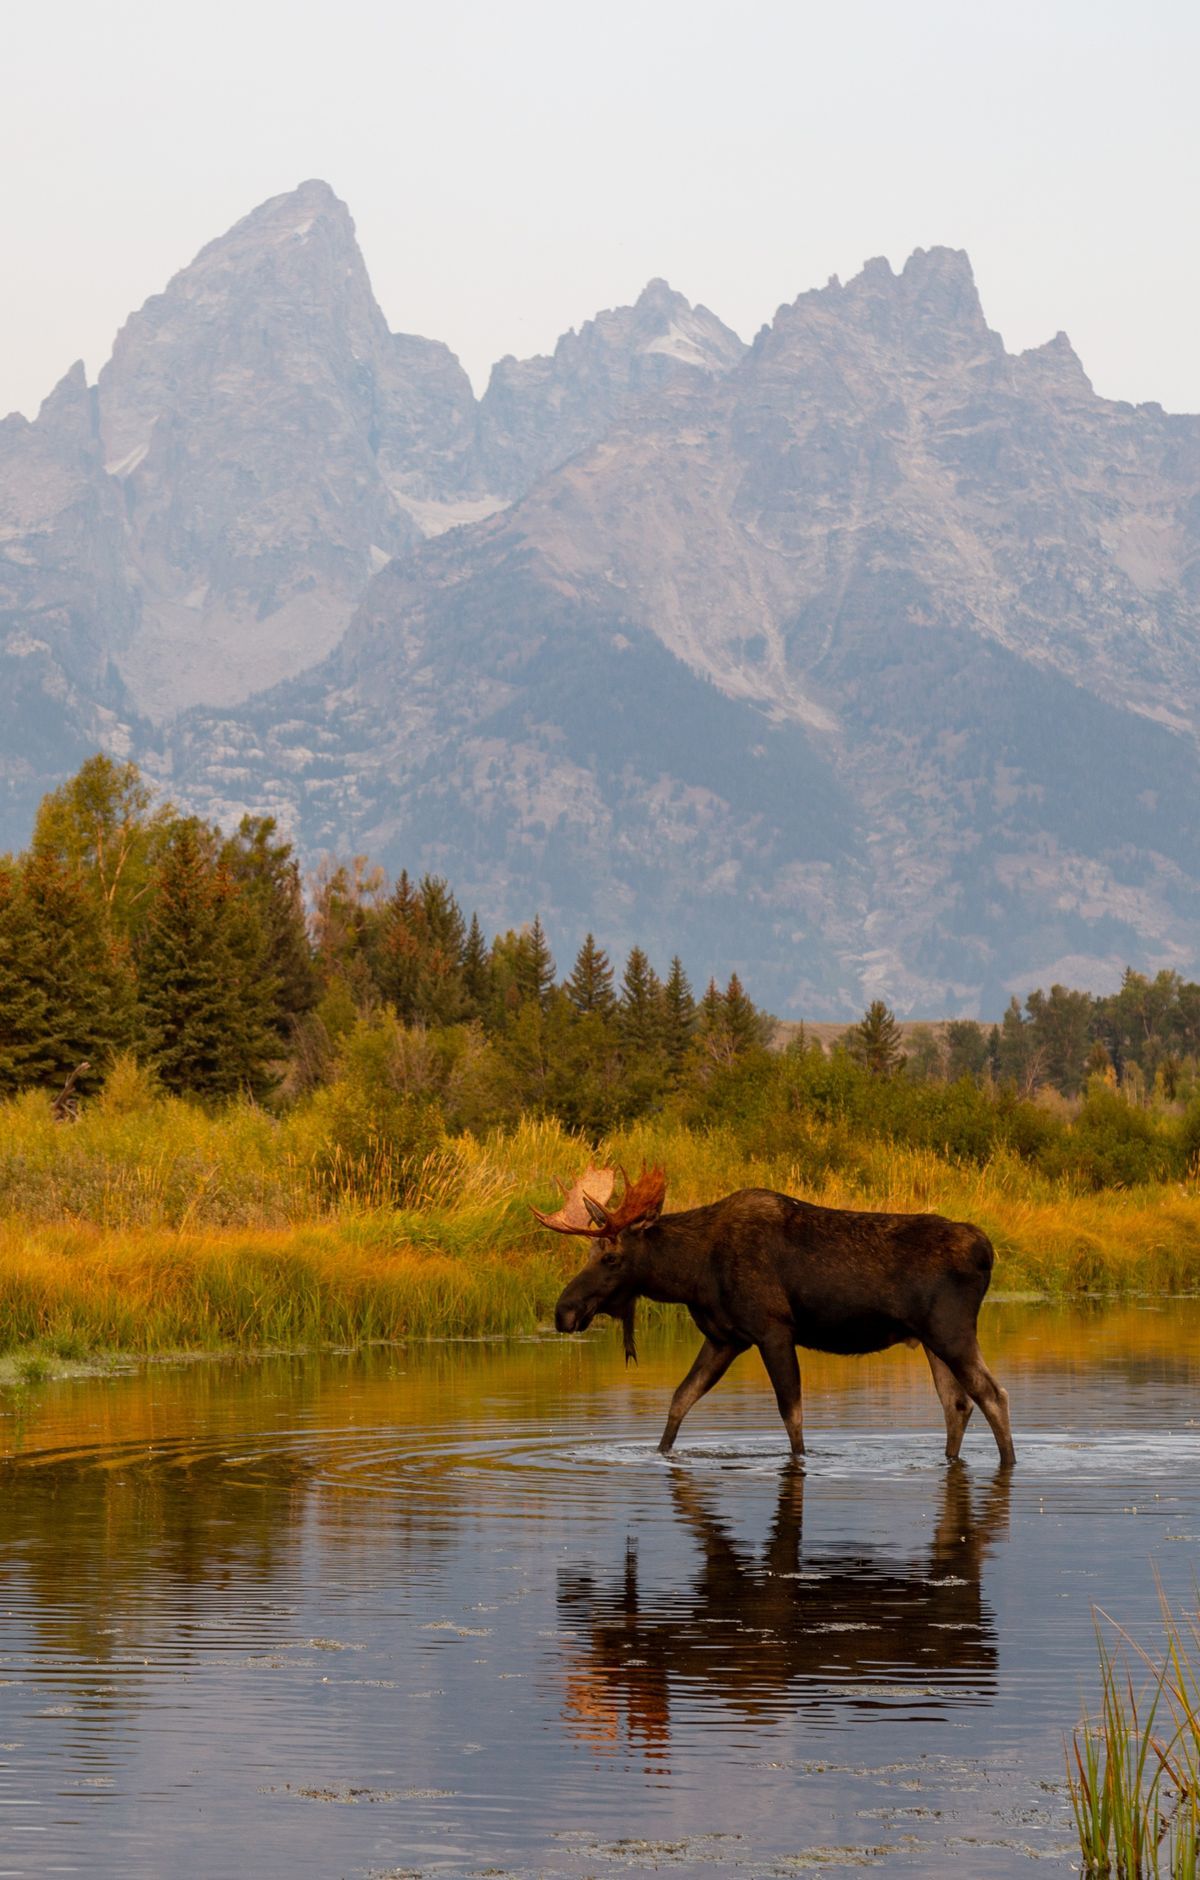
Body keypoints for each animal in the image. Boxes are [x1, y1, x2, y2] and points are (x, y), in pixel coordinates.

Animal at [533, 1165, 1015, 1466]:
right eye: (589, 1253)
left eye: (611, 1258)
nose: (564, 1311)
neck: (693, 1274)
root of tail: (986, 1251)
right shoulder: (724, 1338)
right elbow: (680, 1399)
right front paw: (660, 1452)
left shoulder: (773, 1330)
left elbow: (792, 1415)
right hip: (932, 1341)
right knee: (957, 1404)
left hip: (952, 1332)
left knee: (993, 1393)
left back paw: (1009, 1462)